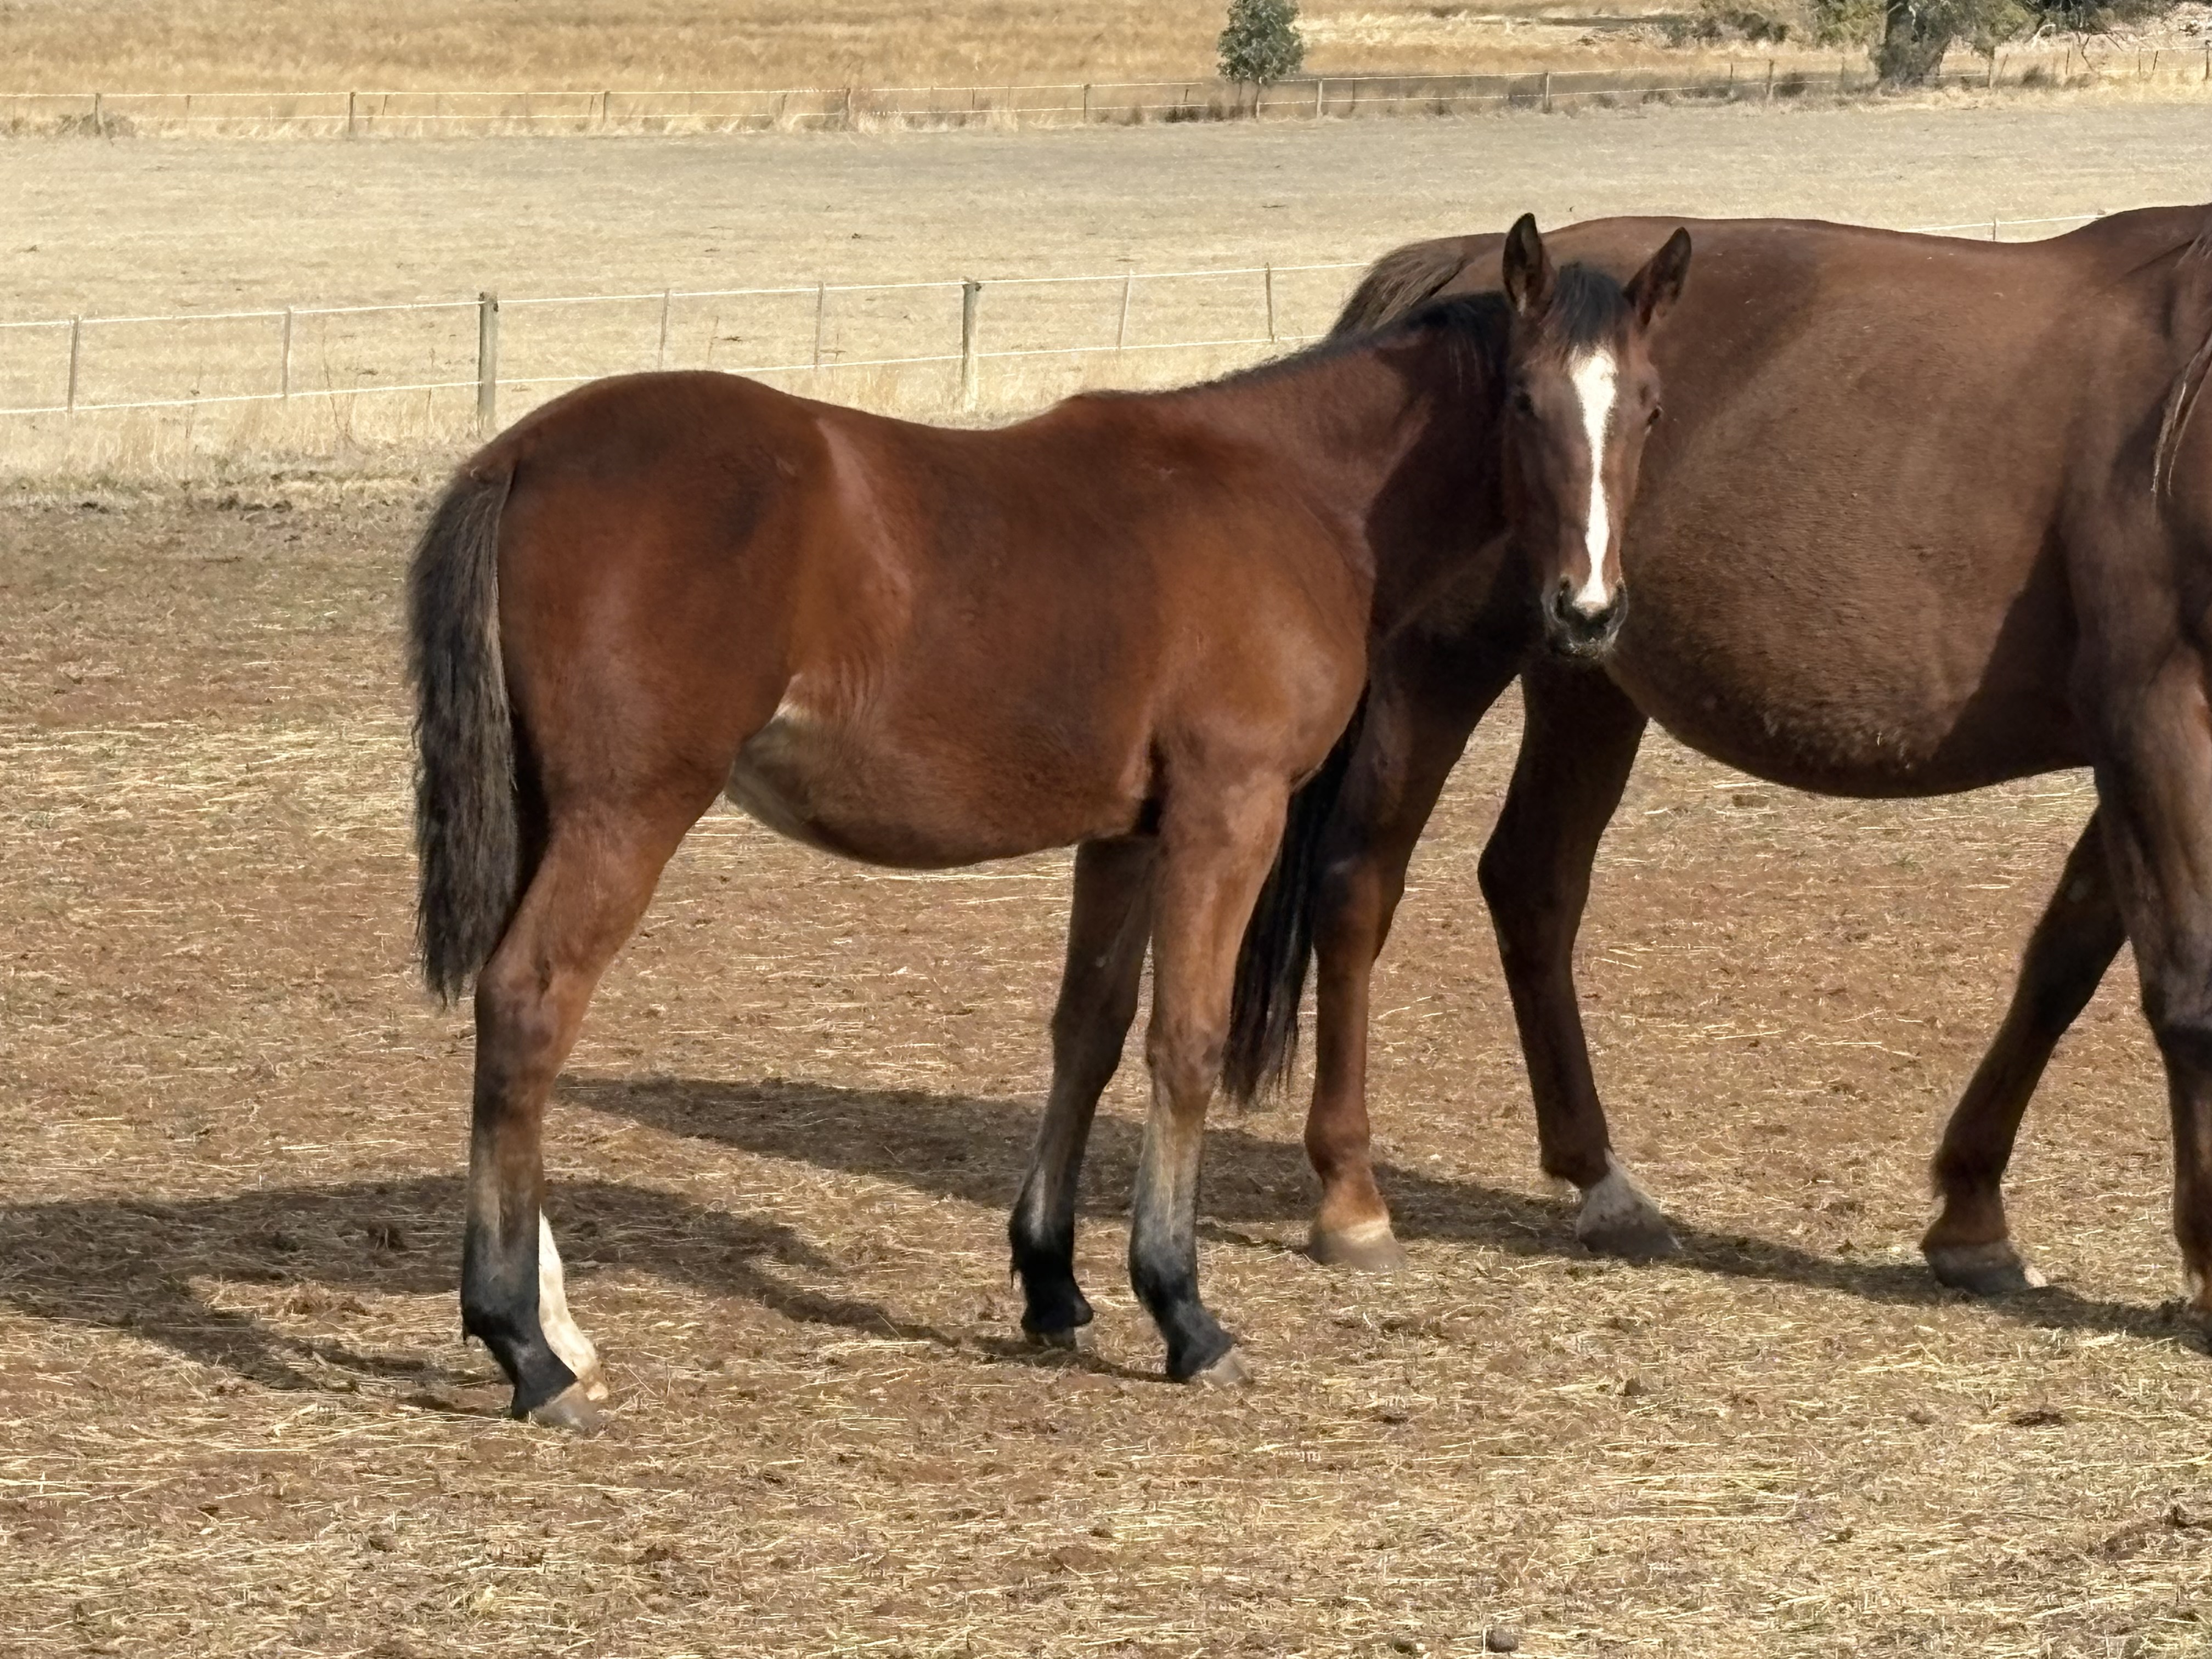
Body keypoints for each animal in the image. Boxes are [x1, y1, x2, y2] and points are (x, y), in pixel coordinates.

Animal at [406, 217, 1694, 1427]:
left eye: (1648, 406)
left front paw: (1053, 1283)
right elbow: (1184, 1041)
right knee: (530, 1005)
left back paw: (560, 1331)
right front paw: (1183, 1309)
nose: (1586, 612)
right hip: (627, 814)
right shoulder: (1228, 812)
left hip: (553, 812)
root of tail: (521, 453)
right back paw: (523, 1346)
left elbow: (1091, 1029)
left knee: (511, 1017)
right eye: (1525, 400)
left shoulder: (1127, 832)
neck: (1285, 490)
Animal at [1221, 206, 2212, 1334]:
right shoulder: (2151, 714)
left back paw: (1603, 1185)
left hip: (1586, 677)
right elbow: (2184, 980)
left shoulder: (2127, 744)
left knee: (1531, 885)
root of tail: (1462, 261)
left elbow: (2064, 960)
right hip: (1440, 667)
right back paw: (1351, 1197)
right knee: (1359, 886)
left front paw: (1973, 1216)